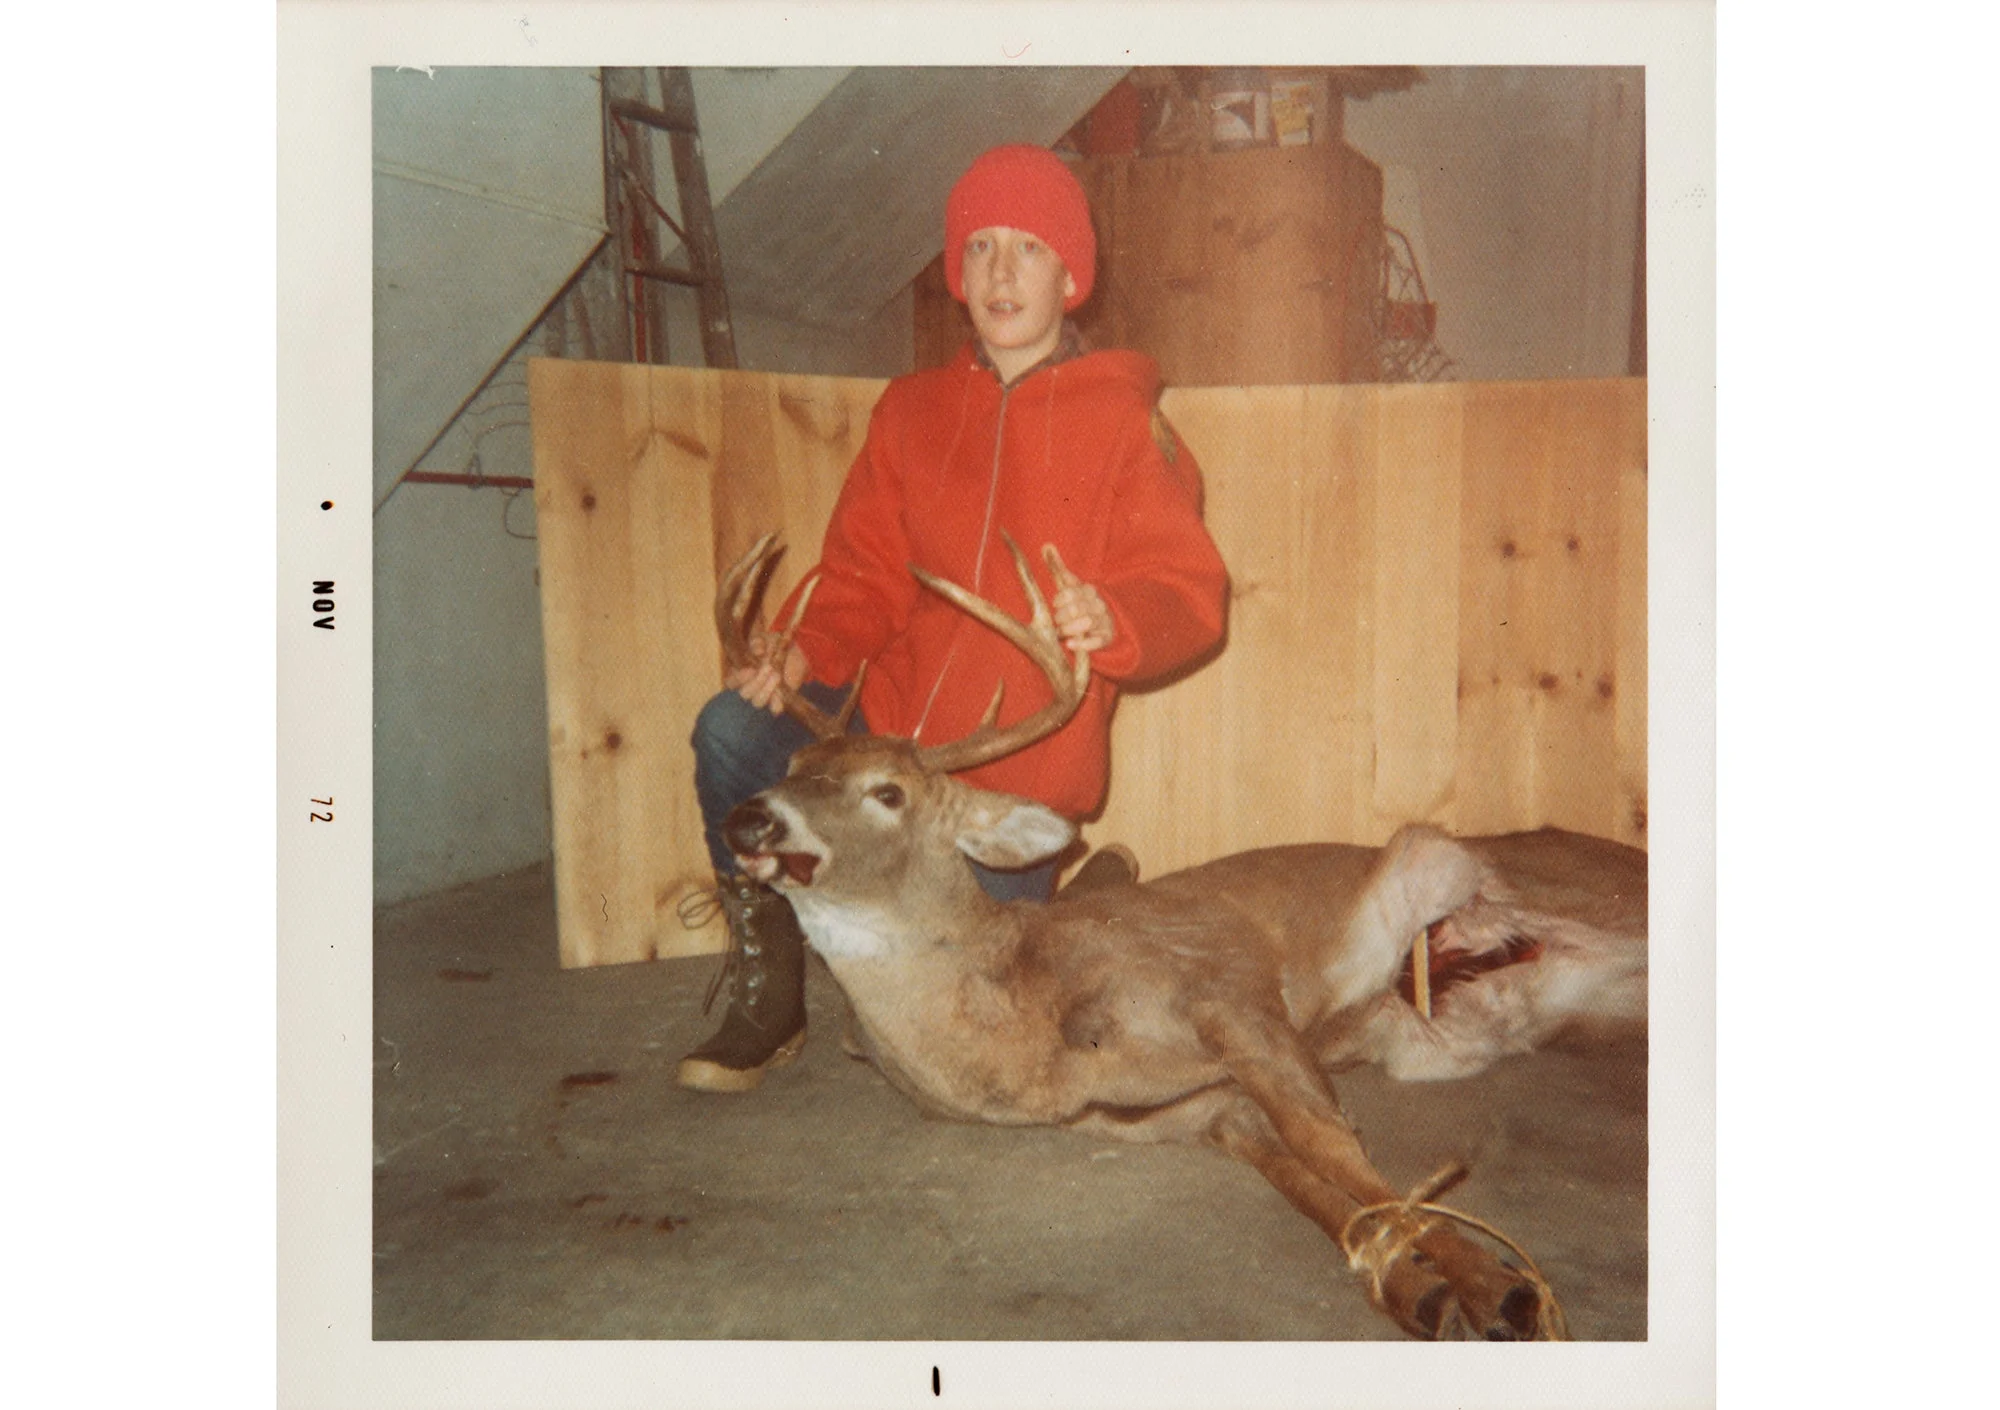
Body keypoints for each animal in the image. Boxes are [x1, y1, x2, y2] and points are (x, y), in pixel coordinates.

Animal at [712, 524, 1648, 1328]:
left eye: (888, 792)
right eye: (791, 764)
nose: (748, 819)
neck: (1023, 1032)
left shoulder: (1226, 990)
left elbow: (1335, 1148)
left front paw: (1501, 1288)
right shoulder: (1198, 1113)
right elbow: (1317, 1191)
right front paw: (1423, 1291)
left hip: (1534, 881)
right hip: (1571, 1015)